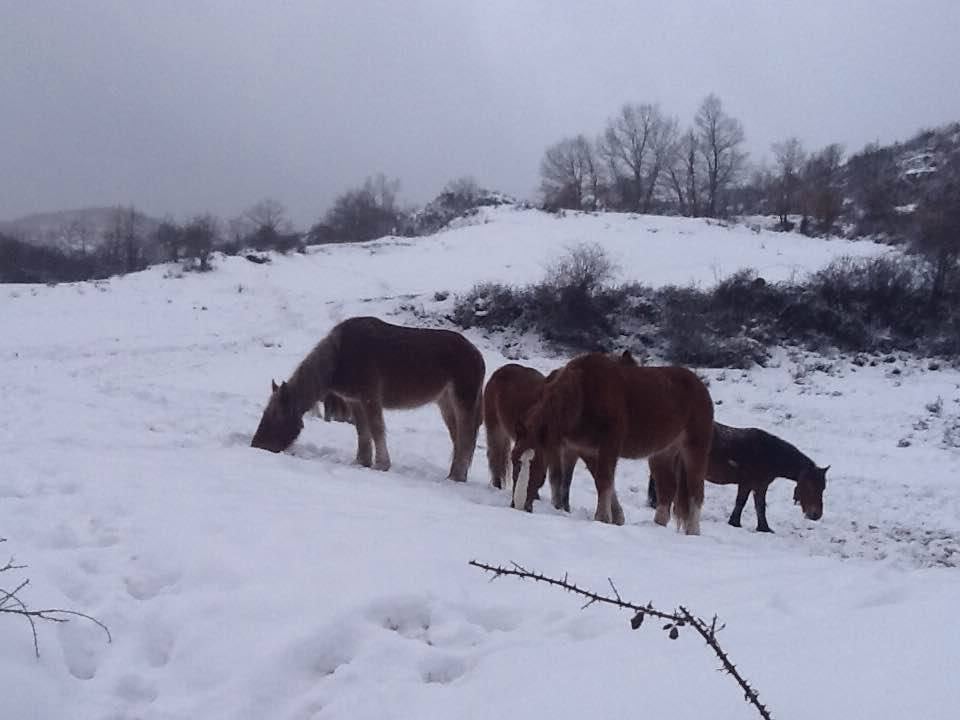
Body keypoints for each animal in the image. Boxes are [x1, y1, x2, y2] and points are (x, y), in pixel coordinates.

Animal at [251, 316, 484, 480]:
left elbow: (376, 428)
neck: (339, 356)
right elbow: (362, 431)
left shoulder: (370, 397)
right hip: (445, 403)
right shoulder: (355, 401)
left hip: (463, 401)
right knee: (459, 438)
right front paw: (361, 462)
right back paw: (455, 475)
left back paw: (455, 477)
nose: (257, 445)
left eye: (275, 416)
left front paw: (382, 464)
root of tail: (477, 354)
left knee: (465, 438)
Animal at [510, 352, 712, 532]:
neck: (584, 393)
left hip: (694, 448)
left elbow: (604, 480)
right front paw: (617, 518)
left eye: (537, 465)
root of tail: (699, 385)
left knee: (696, 491)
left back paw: (693, 531)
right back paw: (657, 526)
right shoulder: (587, 450)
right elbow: (603, 481)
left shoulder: (609, 445)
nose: (518, 505)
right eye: (514, 461)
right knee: (667, 488)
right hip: (662, 453)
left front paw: (602, 518)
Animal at [648, 420, 828, 532]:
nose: (816, 515)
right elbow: (742, 503)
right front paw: (735, 523)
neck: (768, 454)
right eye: (810, 486)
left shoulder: (759, 486)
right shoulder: (748, 484)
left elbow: (759, 506)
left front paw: (763, 528)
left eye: (823, 488)